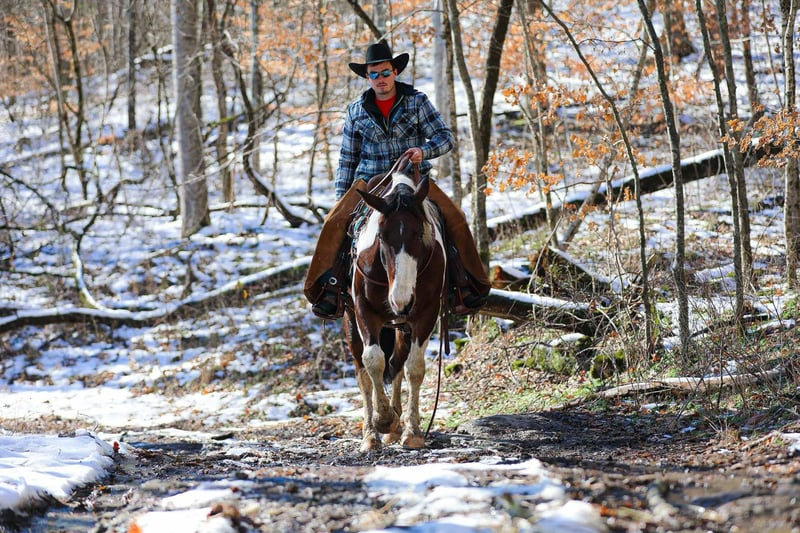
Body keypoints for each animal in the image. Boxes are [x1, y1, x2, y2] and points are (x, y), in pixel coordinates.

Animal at [343, 170, 447, 452]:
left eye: (420, 234)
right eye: (381, 236)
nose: (401, 301)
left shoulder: (426, 313)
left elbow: (414, 368)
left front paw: (411, 432)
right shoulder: (363, 310)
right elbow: (372, 361)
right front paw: (383, 419)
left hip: (402, 326)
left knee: (397, 362)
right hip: (351, 321)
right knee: (362, 372)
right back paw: (370, 436)